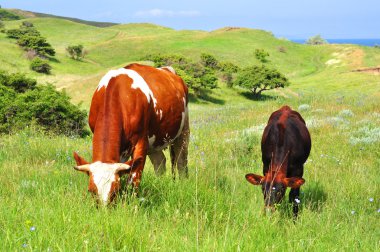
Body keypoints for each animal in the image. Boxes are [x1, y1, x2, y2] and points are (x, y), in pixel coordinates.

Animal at [72, 63, 189, 205]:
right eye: (91, 191)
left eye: (115, 191)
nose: (104, 209)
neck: (117, 94)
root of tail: (169, 70)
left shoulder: (141, 141)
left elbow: (133, 179)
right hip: (154, 142)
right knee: (160, 162)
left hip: (183, 131)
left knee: (181, 161)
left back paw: (183, 184)